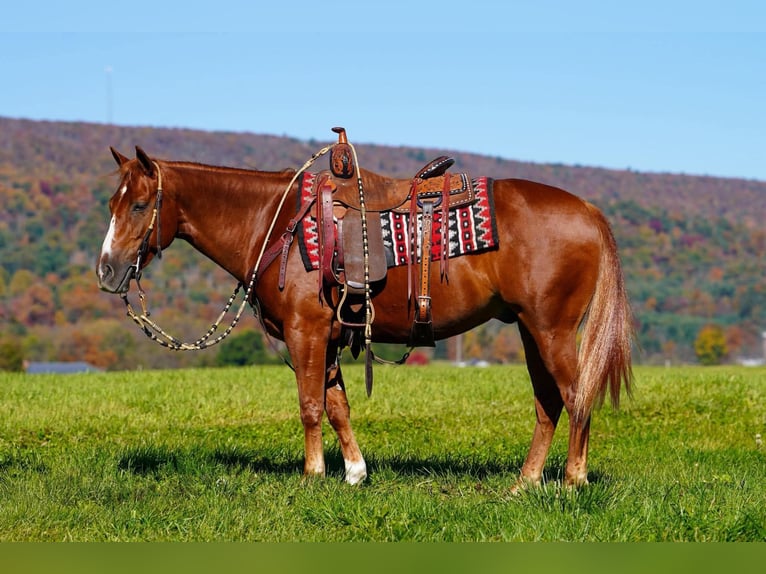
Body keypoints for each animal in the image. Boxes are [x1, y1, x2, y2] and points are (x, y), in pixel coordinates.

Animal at [96, 141, 633, 490]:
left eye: (140, 204)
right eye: (111, 203)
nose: (106, 270)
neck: (277, 221)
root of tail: (587, 210)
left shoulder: (305, 332)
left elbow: (310, 406)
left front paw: (313, 475)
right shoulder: (330, 336)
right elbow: (337, 405)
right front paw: (354, 472)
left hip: (551, 329)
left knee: (575, 395)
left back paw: (573, 480)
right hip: (529, 329)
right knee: (549, 401)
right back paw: (525, 482)